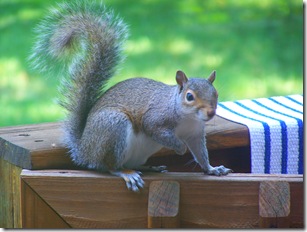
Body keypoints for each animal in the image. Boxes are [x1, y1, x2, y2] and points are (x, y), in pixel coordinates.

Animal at [31, 0, 233, 191]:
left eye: (216, 93)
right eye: (189, 97)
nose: (211, 113)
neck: (187, 117)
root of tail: (84, 150)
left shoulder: (195, 134)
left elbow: (201, 154)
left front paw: (212, 169)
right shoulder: (155, 119)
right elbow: (156, 130)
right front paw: (180, 148)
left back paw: (150, 168)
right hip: (113, 127)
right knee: (109, 166)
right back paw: (127, 173)